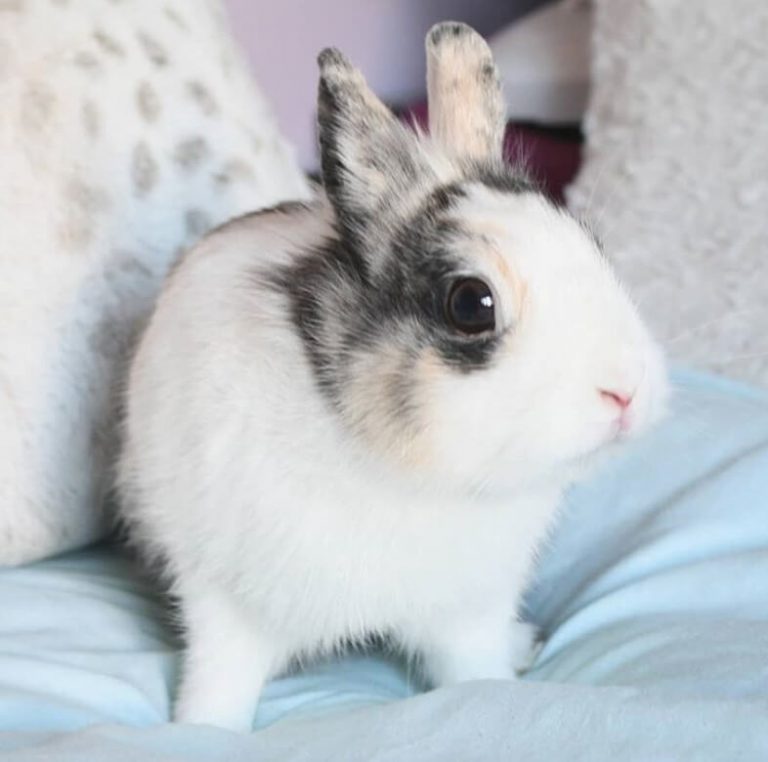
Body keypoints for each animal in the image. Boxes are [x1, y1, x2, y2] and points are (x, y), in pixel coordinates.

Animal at [118, 21, 669, 731]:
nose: (626, 391)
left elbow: (475, 672)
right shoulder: (222, 601)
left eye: (593, 245)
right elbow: (220, 680)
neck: (405, 471)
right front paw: (202, 731)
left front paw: (502, 685)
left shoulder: (469, 611)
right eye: (471, 304)